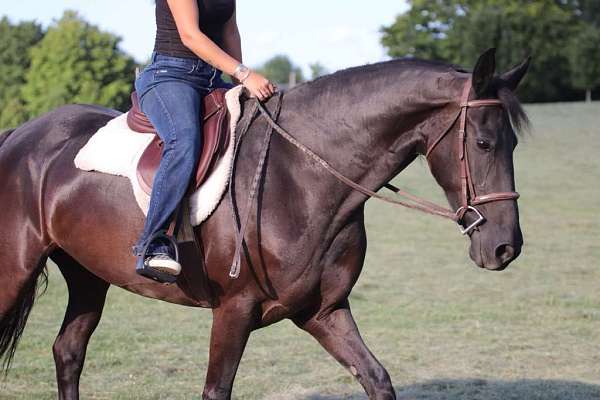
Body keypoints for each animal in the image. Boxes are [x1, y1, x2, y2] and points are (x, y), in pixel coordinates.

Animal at [0, 50, 528, 400]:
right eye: (483, 143)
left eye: (514, 145)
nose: (506, 247)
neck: (302, 174)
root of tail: (19, 135)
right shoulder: (234, 311)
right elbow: (216, 390)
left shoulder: (323, 311)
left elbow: (377, 379)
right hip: (15, 271)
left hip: (88, 275)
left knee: (68, 352)